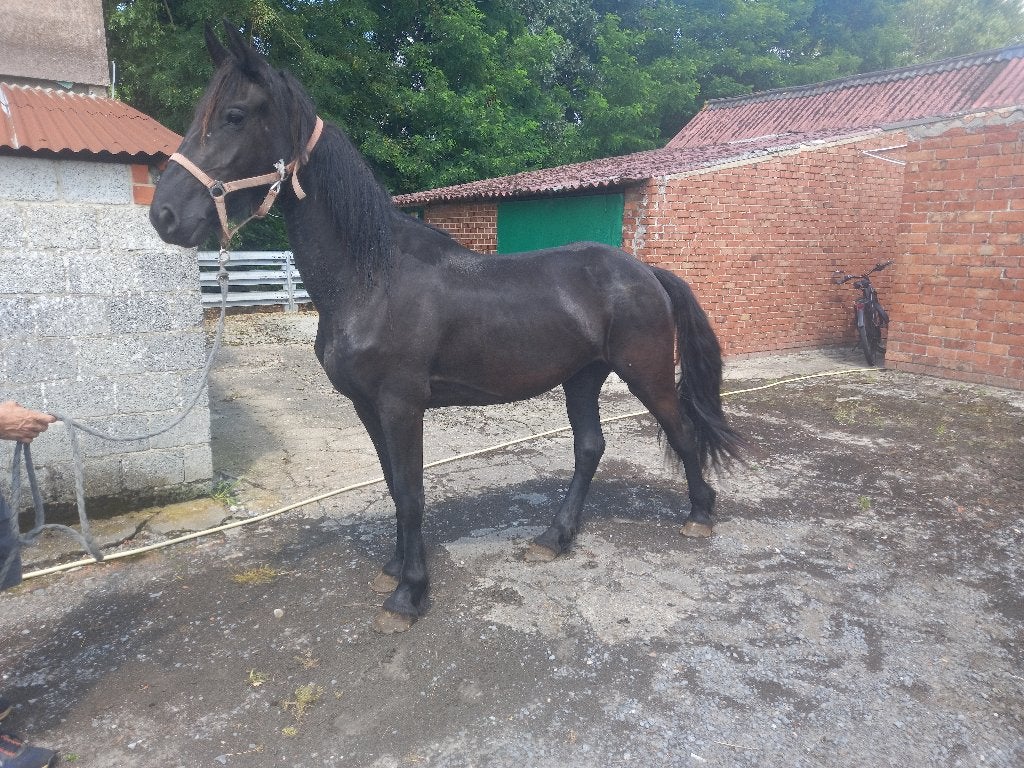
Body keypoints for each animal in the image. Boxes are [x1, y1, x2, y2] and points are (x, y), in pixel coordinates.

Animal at [150, 22, 743, 633]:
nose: (164, 214)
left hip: (646, 374)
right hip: (582, 377)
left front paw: (410, 594)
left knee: (681, 431)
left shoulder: (400, 404)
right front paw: (393, 568)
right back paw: (555, 537)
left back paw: (699, 515)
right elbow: (393, 485)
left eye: (235, 115)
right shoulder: (368, 405)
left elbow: (412, 492)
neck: (371, 278)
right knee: (589, 448)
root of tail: (644, 270)